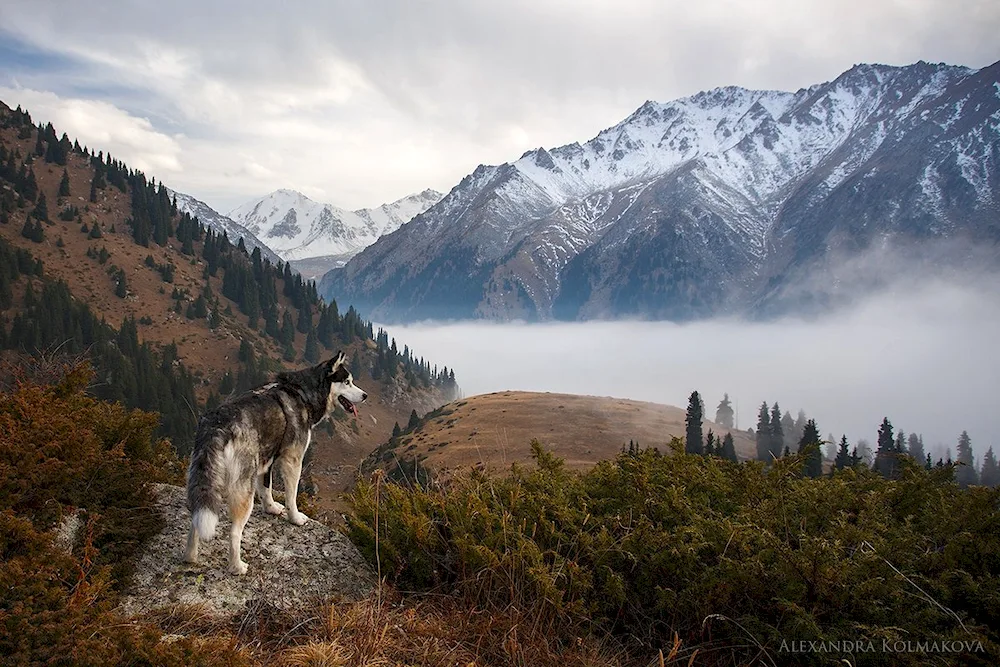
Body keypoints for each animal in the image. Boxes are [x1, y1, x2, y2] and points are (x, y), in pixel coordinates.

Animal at [184, 352, 368, 576]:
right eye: (347, 382)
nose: (365, 396)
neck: (302, 393)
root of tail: (217, 426)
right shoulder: (292, 461)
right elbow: (291, 496)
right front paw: (295, 518)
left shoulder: (266, 460)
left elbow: (266, 488)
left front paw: (271, 508)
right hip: (243, 490)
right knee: (234, 532)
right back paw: (237, 566)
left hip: (205, 480)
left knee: (196, 518)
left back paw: (190, 557)